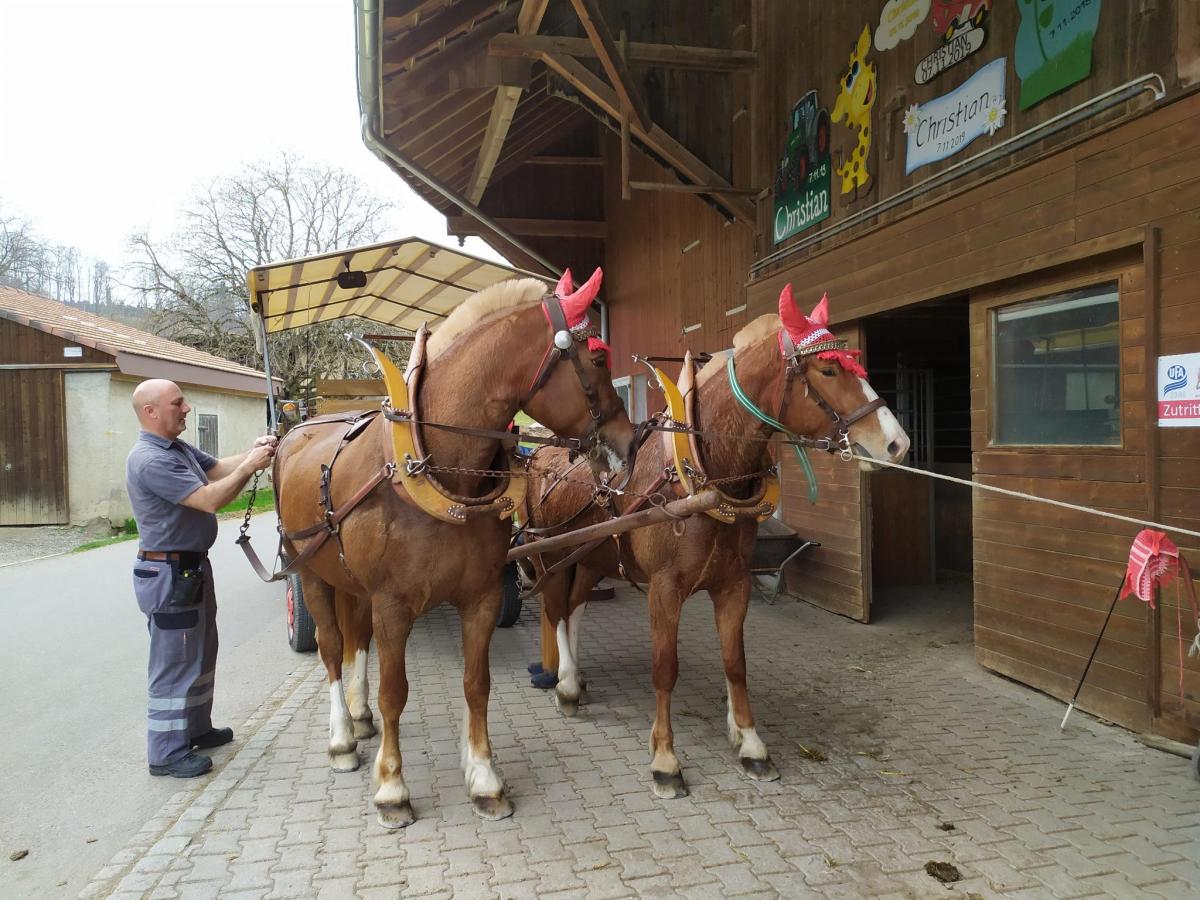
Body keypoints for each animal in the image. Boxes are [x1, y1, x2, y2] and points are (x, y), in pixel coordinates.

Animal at [273, 272, 636, 828]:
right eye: (597, 358)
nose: (631, 442)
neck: (435, 466)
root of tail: (296, 429)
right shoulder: (393, 605)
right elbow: (395, 692)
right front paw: (392, 787)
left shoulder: (481, 596)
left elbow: (476, 683)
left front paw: (483, 775)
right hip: (310, 571)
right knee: (333, 648)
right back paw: (342, 739)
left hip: (350, 581)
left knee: (356, 640)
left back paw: (359, 716)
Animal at [521, 284, 911, 799]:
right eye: (828, 370)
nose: (897, 444)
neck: (701, 474)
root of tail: (541, 453)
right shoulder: (665, 590)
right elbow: (665, 668)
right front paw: (665, 760)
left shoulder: (734, 583)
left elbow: (735, 662)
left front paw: (750, 743)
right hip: (553, 553)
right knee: (555, 610)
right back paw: (564, 684)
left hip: (593, 556)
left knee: (576, 609)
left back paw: (576, 680)